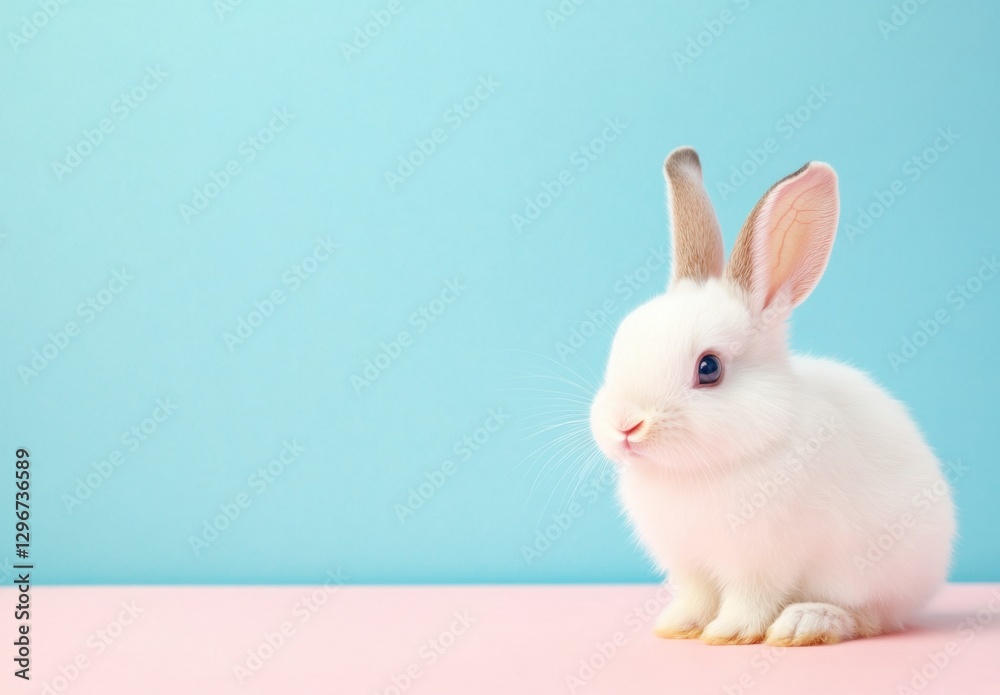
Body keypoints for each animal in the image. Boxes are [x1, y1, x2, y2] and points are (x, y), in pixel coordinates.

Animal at [589, 147, 955, 646]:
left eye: (709, 368)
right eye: (621, 343)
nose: (625, 425)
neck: (698, 470)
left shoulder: (762, 563)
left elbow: (751, 599)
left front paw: (728, 633)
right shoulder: (691, 566)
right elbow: (697, 596)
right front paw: (678, 626)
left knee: (869, 617)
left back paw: (805, 623)